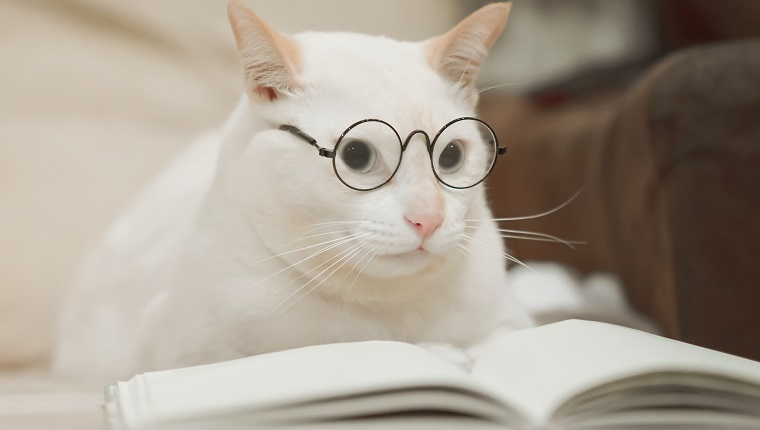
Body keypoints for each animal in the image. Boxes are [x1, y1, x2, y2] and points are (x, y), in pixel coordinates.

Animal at [53, 1, 532, 382]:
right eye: (357, 155)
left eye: (451, 156)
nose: (427, 218)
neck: (387, 309)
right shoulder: (180, 356)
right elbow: (332, 348)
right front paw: (436, 355)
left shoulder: (512, 320)